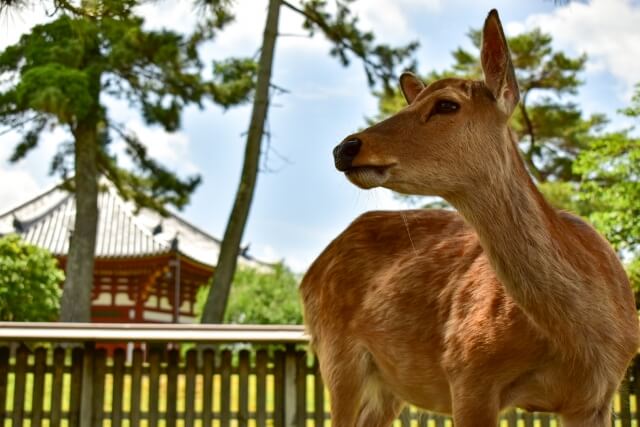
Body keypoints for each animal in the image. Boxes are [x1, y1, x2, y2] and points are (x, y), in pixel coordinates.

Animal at [300, 9, 640, 427]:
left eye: (447, 104)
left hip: (385, 386)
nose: (345, 147)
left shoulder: (595, 396)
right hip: (336, 355)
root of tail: (310, 274)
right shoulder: (467, 371)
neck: (576, 340)